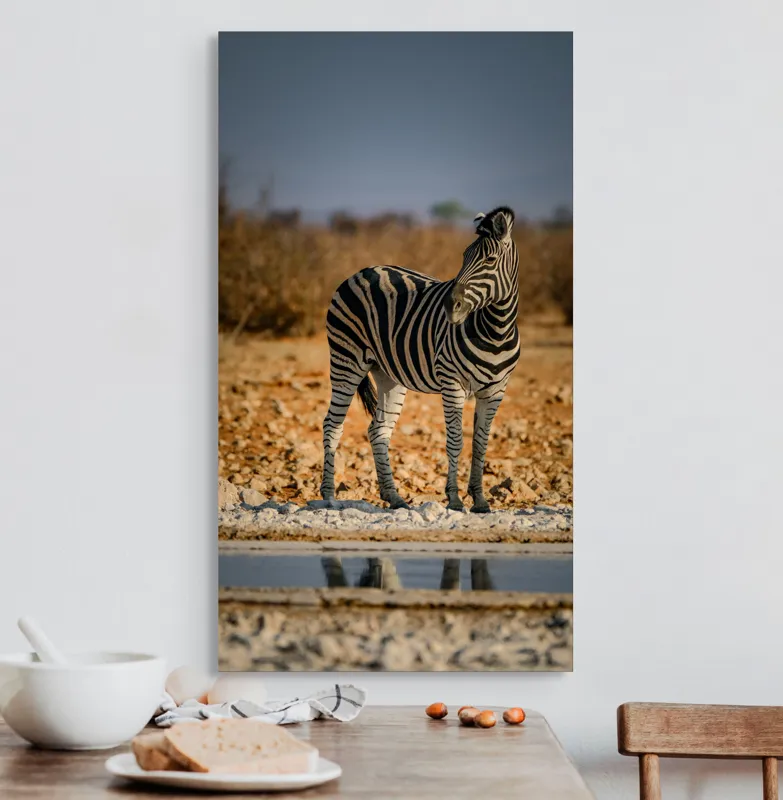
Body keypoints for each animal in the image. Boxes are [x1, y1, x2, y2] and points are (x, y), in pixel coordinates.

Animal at [320, 206, 520, 513]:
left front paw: (480, 500)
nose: (450, 306)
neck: (495, 331)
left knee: (378, 430)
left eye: (489, 259)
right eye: (464, 256)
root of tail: (362, 271)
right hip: (346, 360)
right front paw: (454, 500)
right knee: (332, 424)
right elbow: (455, 440)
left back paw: (394, 497)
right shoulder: (453, 383)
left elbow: (480, 444)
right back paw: (329, 497)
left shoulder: (496, 390)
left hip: (387, 374)